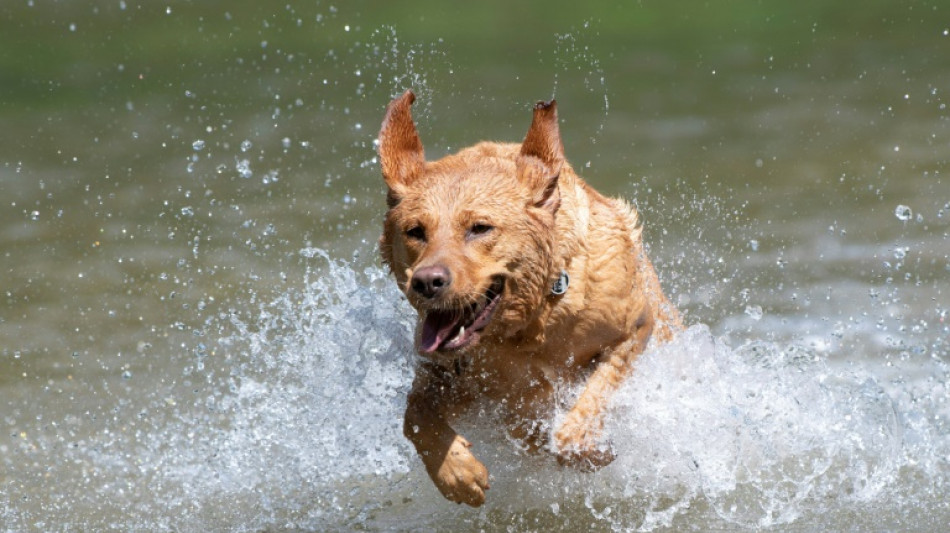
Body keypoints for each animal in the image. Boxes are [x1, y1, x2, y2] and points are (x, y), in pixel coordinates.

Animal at [376, 89, 680, 504]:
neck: (534, 321)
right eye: (415, 231)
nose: (426, 282)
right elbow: (415, 413)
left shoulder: (634, 330)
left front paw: (586, 446)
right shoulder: (450, 373)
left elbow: (587, 406)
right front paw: (456, 472)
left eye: (480, 228)